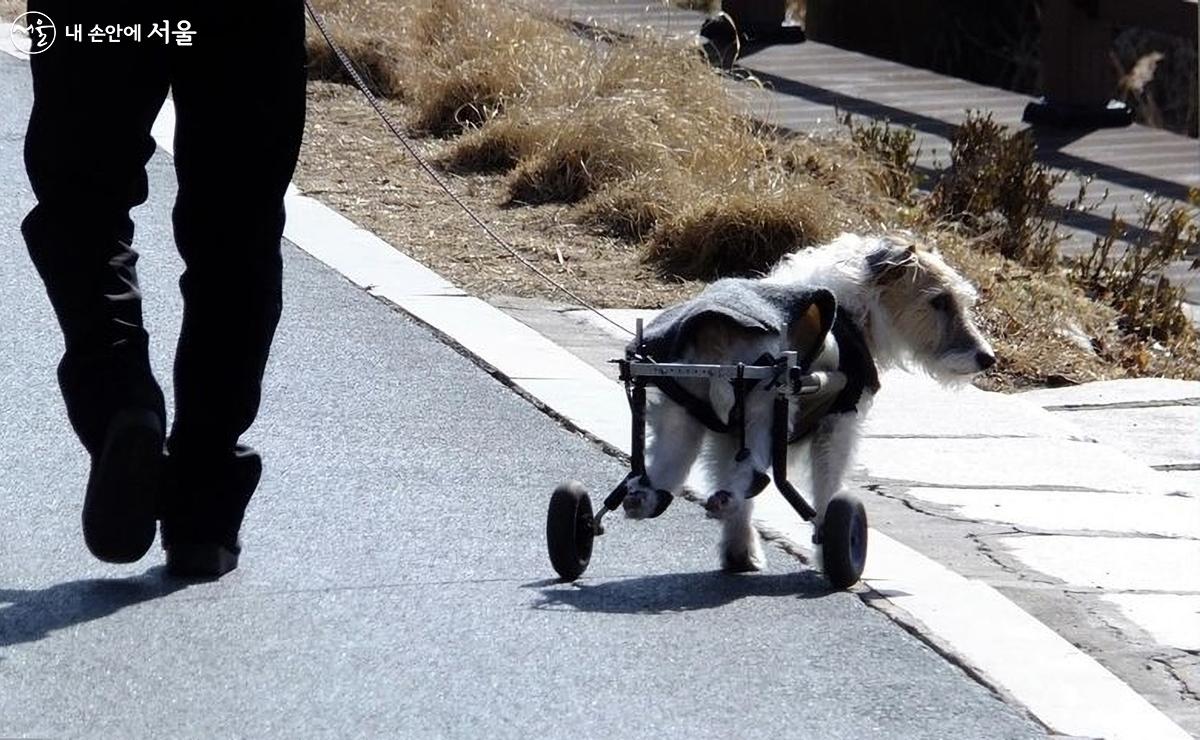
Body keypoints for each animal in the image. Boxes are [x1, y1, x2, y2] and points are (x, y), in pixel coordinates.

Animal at [619, 230, 993, 570]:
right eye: (939, 300)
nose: (987, 358)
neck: (853, 312)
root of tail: (716, 332)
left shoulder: (725, 436)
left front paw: (740, 551)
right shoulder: (839, 423)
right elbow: (828, 489)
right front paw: (831, 548)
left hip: (684, 412)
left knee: (670, 465)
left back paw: (644, 498)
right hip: (766, 407)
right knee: (752, 470)